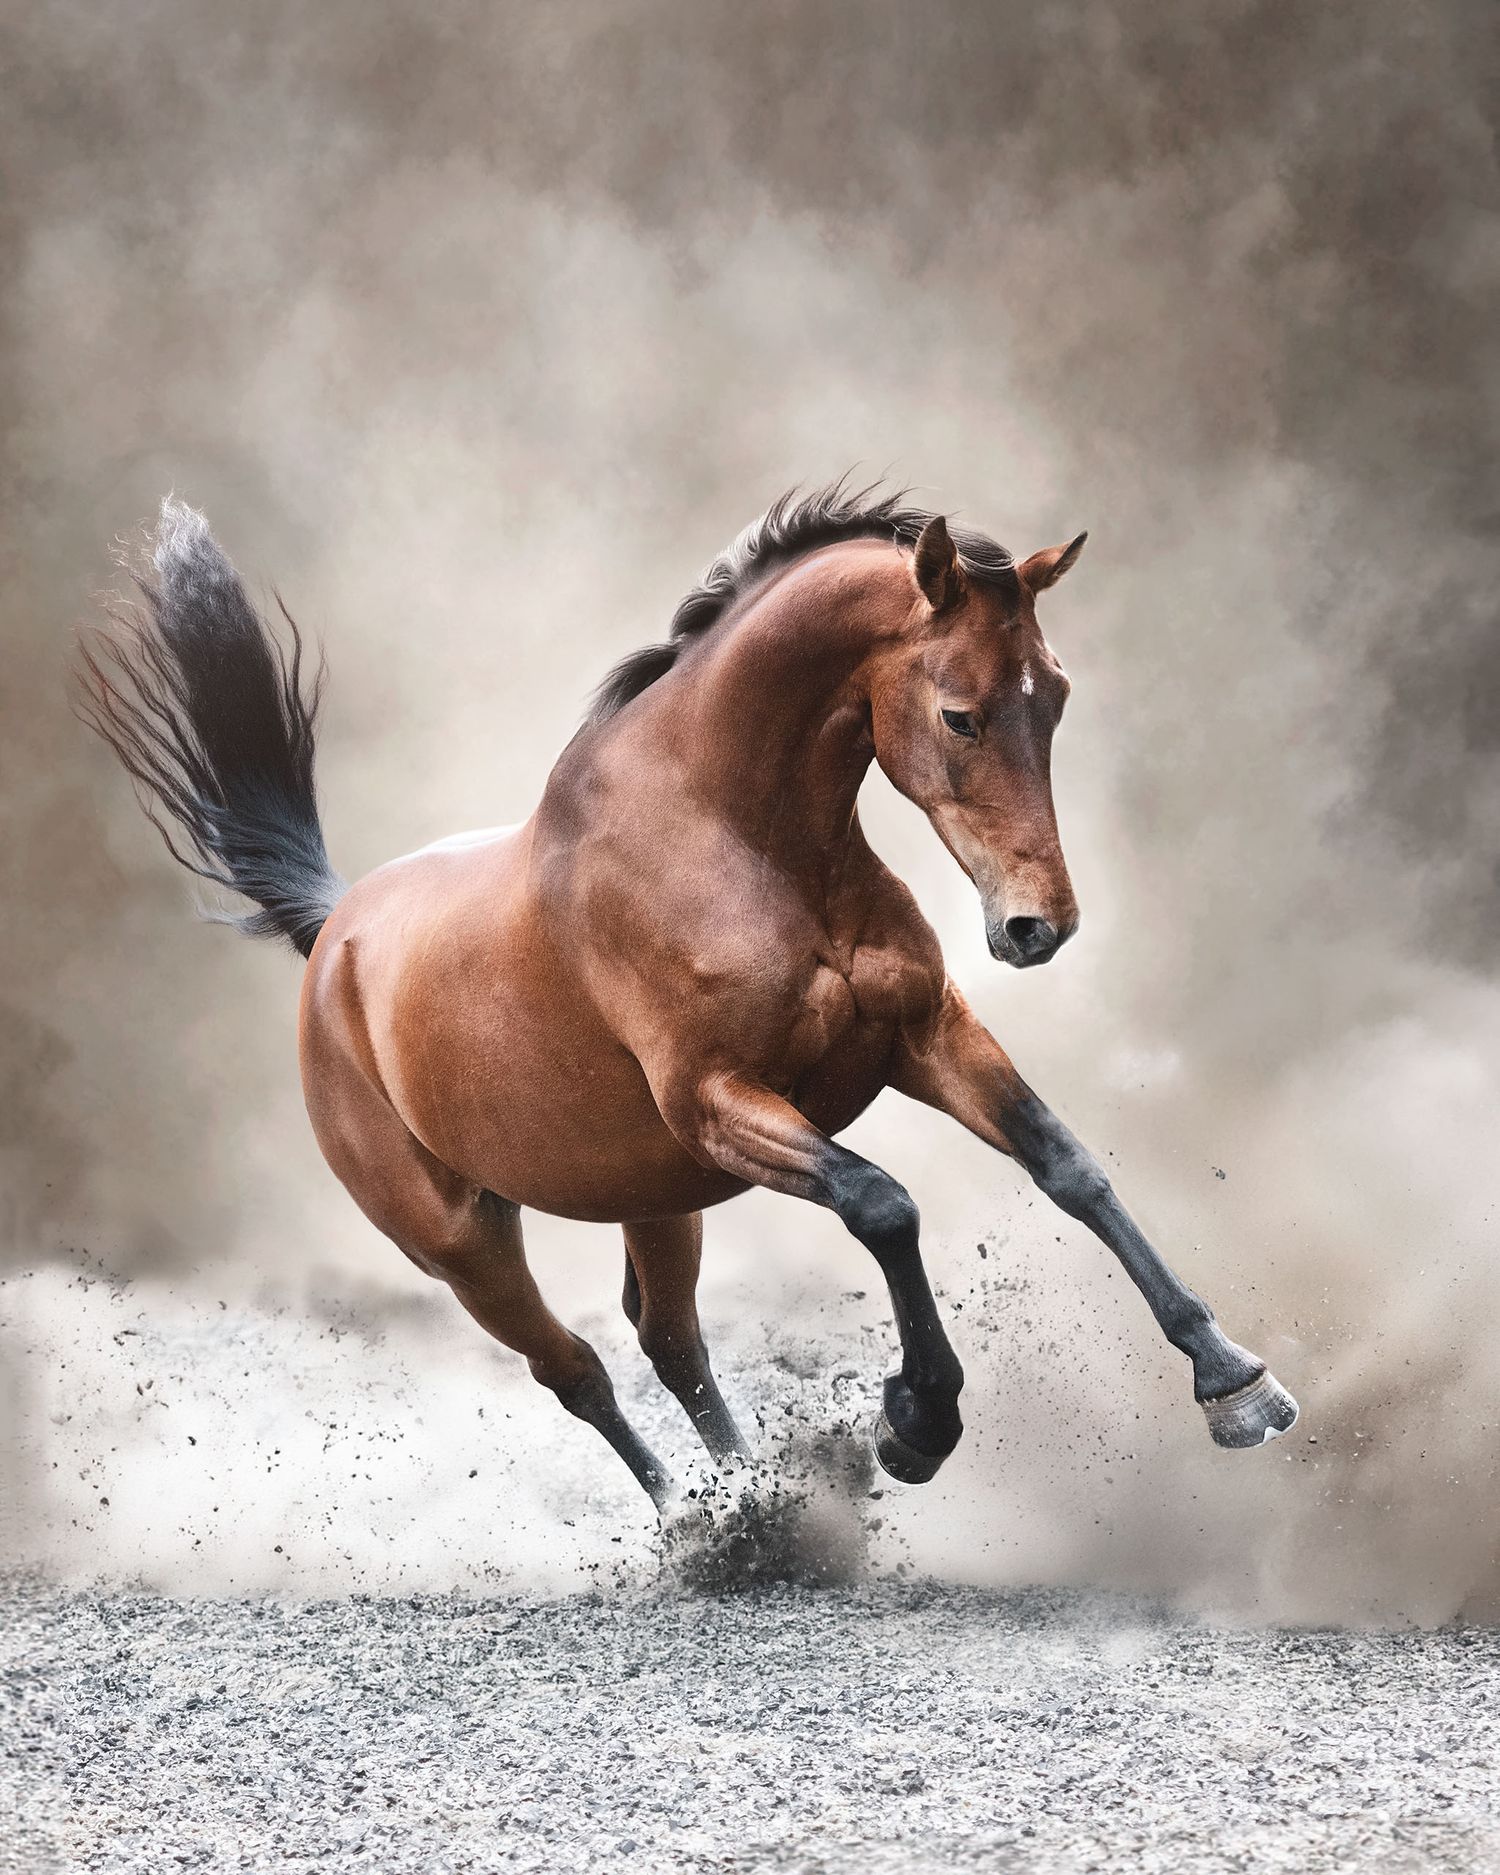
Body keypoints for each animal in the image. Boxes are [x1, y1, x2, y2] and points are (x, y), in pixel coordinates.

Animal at [75, 482, 1298, 1509]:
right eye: (961, 714)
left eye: (1058, 698)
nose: (1038, 927)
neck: (737, 838)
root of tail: (335, 932)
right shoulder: (720, 1100)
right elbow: (884, 1204)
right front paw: (915, 1423)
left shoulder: (923, 1035)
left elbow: (1067, 1166)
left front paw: (1234, 1381)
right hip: (464, 1242)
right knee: (576, 1370)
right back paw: (697, 1527)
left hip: (651, 1194)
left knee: (669, 1341)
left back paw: (754, 1504)